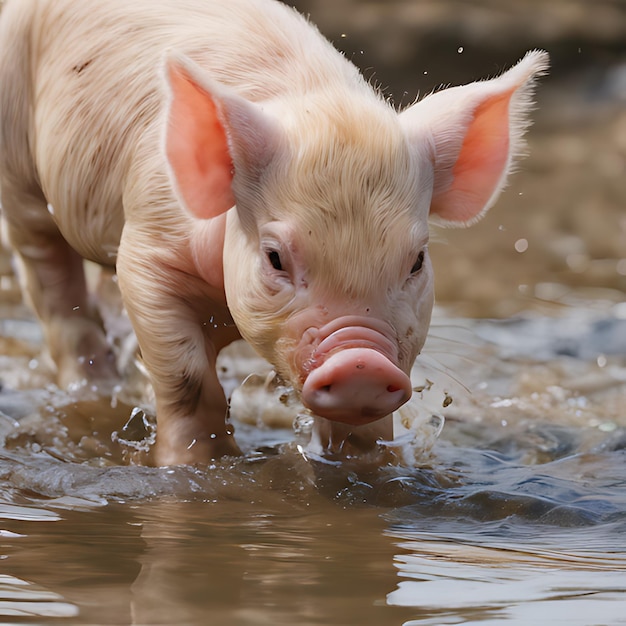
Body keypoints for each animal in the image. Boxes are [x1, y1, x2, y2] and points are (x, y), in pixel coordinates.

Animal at [0, 0, 544, 464]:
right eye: (275, 257)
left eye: (417, 261)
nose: (361, 363)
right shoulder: (147, 250)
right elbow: (186, 379)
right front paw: (195, 465)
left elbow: (364, 429)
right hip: (20, 175)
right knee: (53, 287)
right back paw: (92, 389)